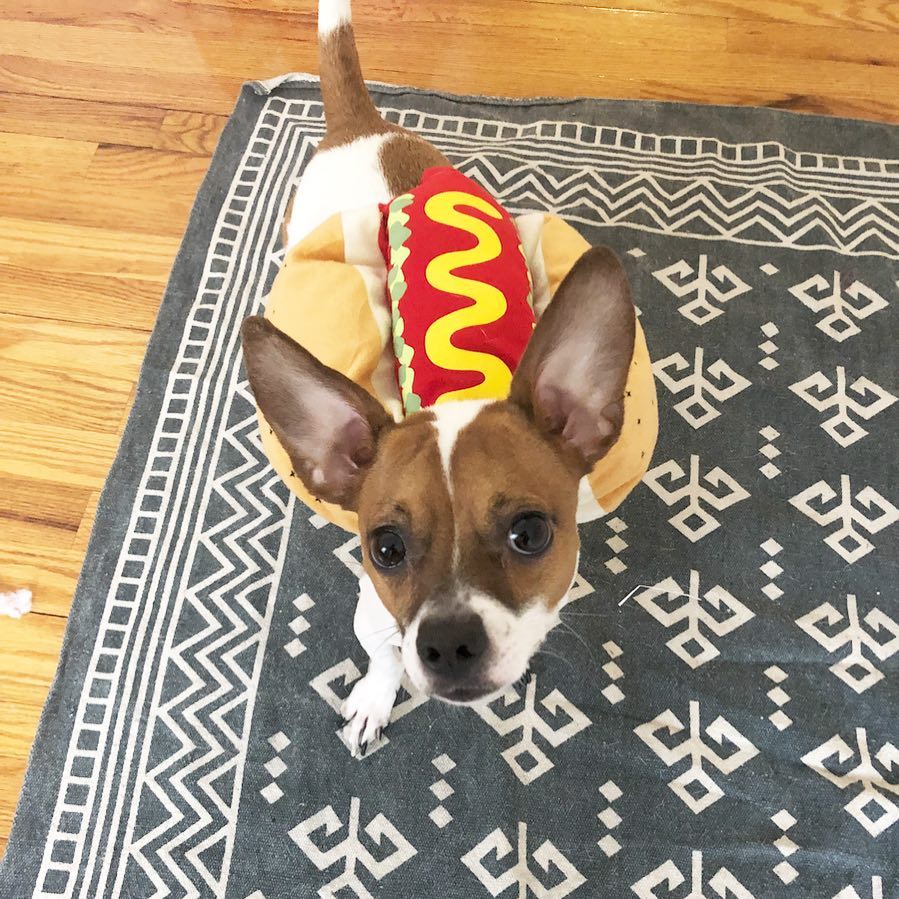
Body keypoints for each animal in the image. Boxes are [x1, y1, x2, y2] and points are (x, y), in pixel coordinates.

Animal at [243, 0, 656, 756]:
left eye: (530, 533)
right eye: (385, 548)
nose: (447, 642)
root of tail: (360, 124)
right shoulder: (376, 615)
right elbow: (382, 656)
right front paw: (377, 697)